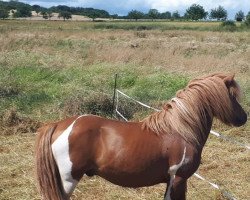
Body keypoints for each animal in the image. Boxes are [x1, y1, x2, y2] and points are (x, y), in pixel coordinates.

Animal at [34, 73, 247, 200]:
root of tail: (59, 125)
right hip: (68, 179)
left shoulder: (171, 181)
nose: (244, 118)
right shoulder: (179, 179)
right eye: (232, 95)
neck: (180, 130)